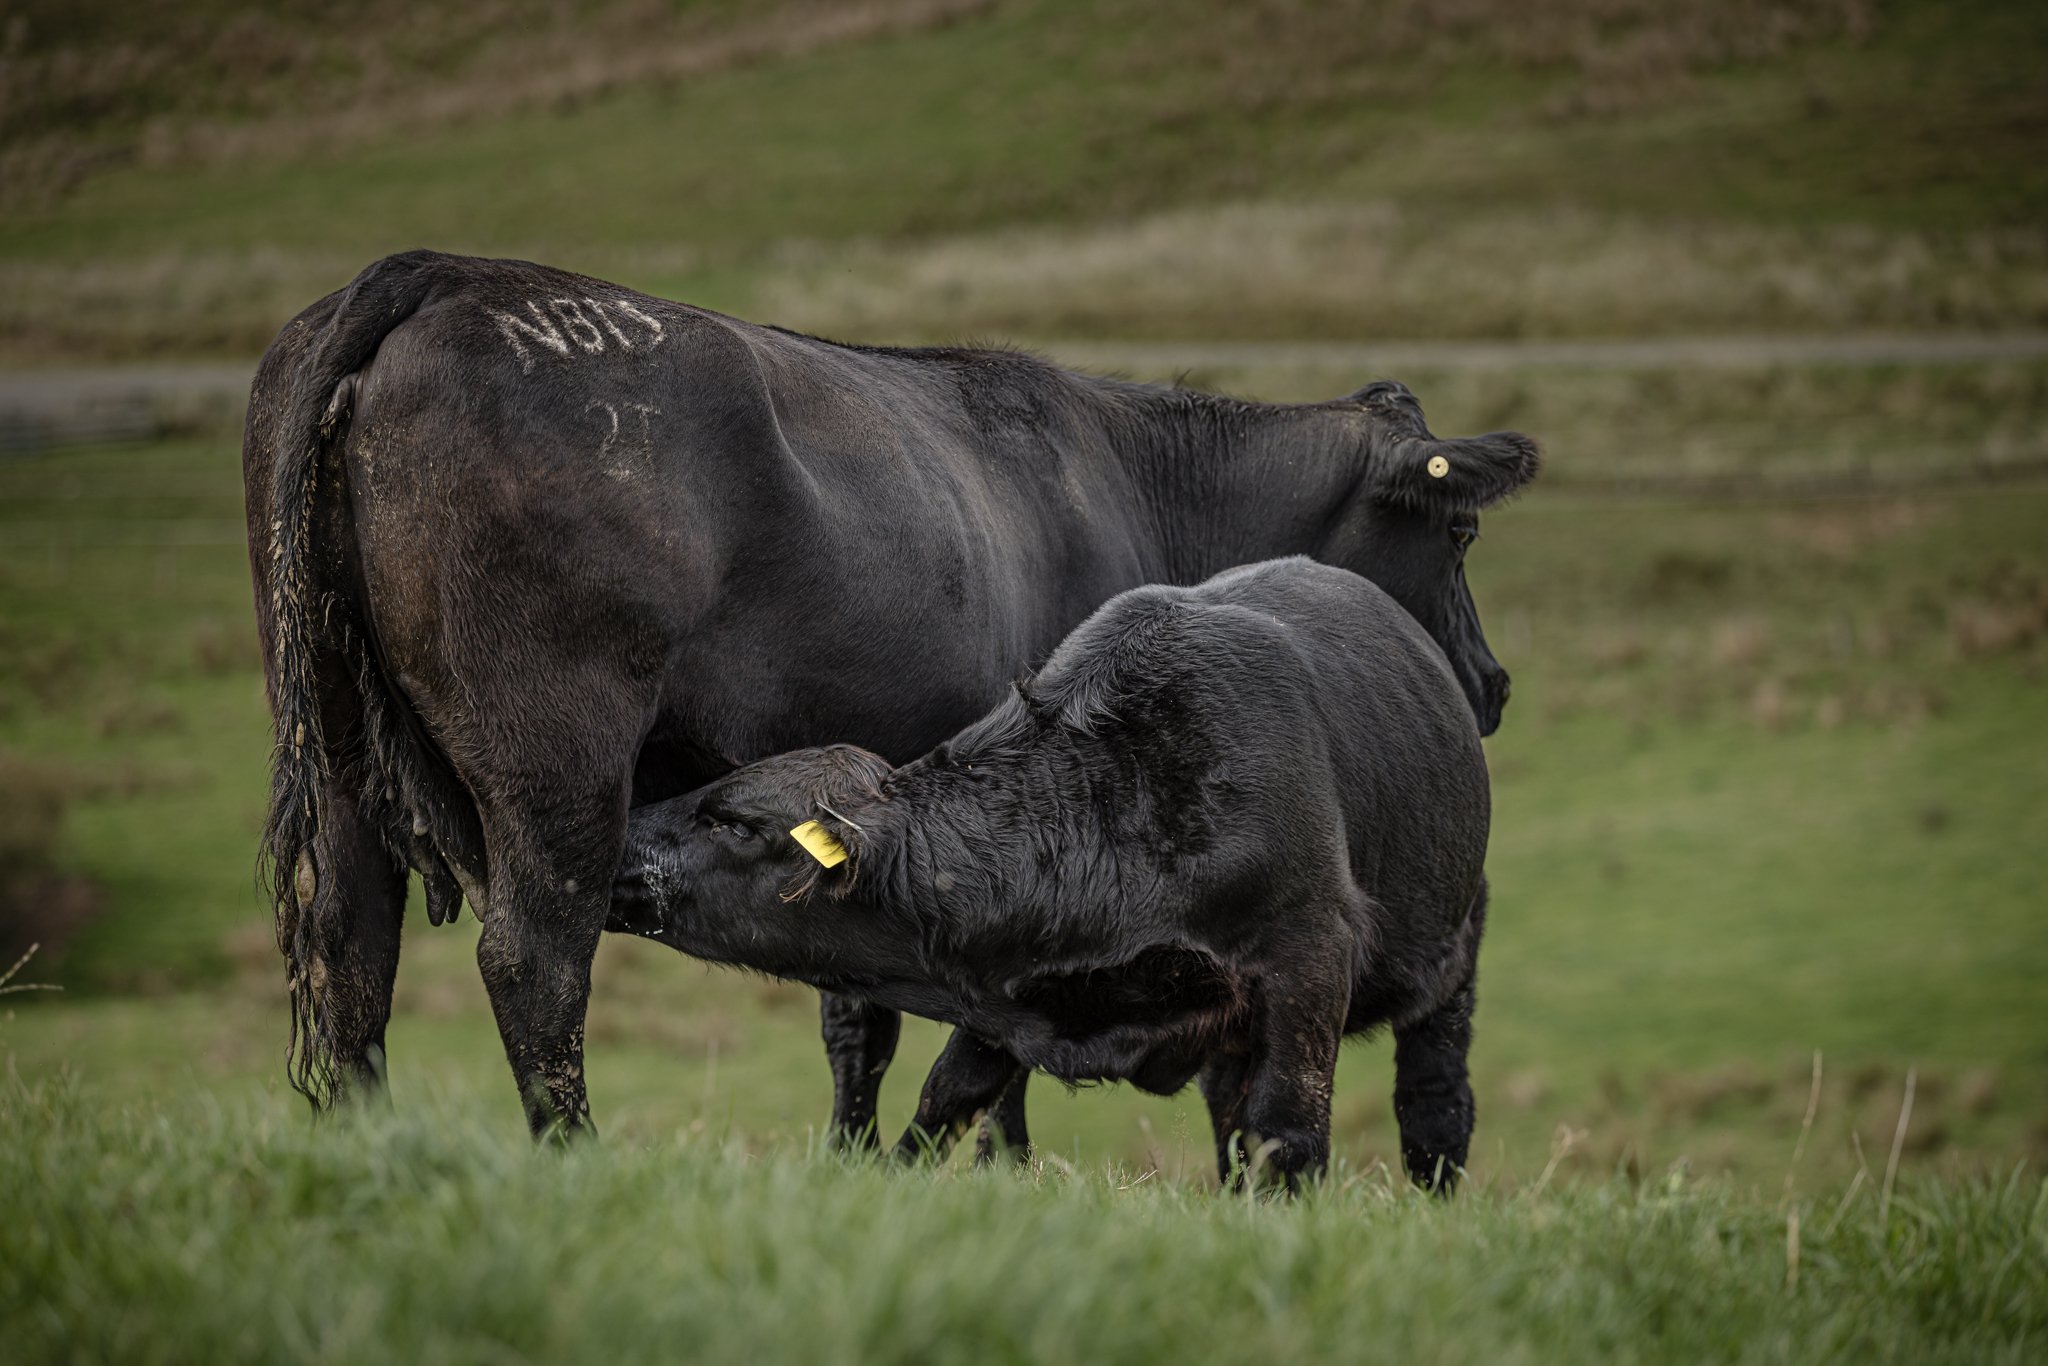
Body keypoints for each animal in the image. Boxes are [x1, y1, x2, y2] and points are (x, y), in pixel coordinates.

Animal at [609, 557, 1495, 1190]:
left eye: (733, 820)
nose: (621, 839)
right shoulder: (998, 990)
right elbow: (946, 1098)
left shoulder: (1308, 958)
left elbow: (1290, 1132)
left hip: (1455, 951)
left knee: (1435, 1109)